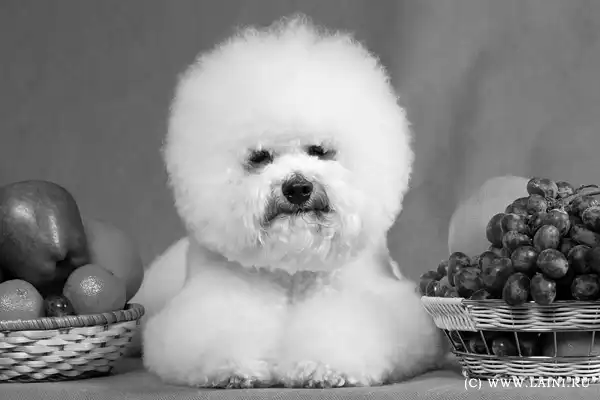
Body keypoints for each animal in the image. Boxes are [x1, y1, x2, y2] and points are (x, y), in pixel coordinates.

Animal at [133, 15, 446, 388]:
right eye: (260, 157)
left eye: (320, 150)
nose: (297, 188)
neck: (292, 270)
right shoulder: (216, 299)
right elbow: (221, 330)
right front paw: (234, 368)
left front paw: (322, 367)